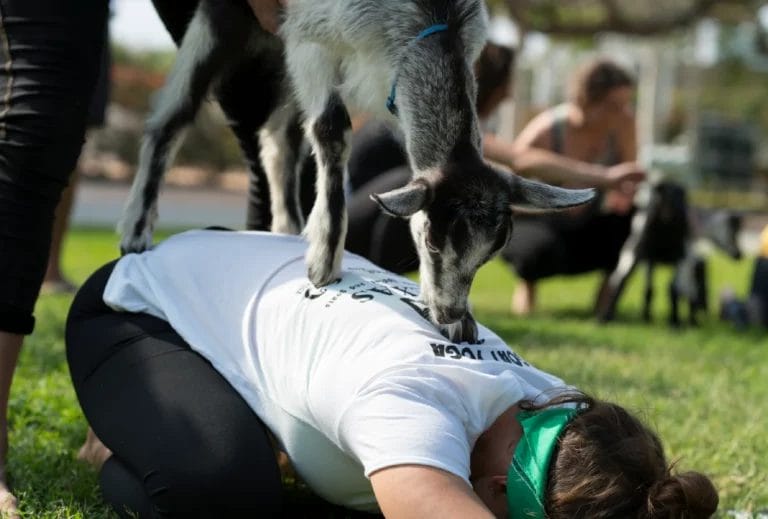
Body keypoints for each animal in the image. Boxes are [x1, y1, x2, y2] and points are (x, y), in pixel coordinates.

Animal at [118, 0, 594, 342]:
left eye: (489, 254)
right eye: (433, 242)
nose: (449, 311)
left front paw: (460, 322)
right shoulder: (312, 37)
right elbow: (331, 127)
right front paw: (324, 263)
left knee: (278, 140)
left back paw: (287, 228)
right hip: (224, 20)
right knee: (173, 117)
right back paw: (136, 233)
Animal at [596, 180, 742, 326]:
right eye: (733, 232)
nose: (739, 255)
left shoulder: (649, 259)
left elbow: (649, 289)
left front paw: (647, 317)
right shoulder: (687, 259)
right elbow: (688, 290)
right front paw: (691, 320)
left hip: (633, 248)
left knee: (619, 280)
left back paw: (606, 317)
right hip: (677, 255)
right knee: (674, 288)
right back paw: (675, 322)